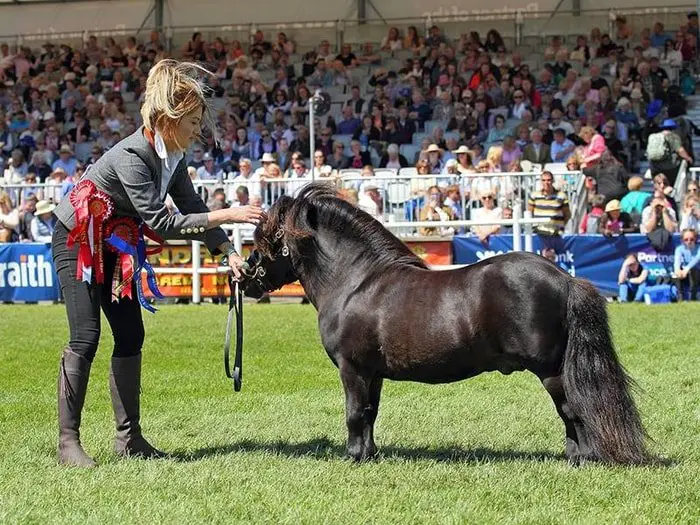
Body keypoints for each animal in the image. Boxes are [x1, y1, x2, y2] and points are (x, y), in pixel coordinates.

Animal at [243, 183, 648, 462]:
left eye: (270, 235)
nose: (245, 278)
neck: (356, 282)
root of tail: (565, 279)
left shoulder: (352, 368)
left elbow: (354, 414)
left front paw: (354, 457)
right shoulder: (373, 373)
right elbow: (371, 413)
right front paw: (370, 455)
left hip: (551, 370)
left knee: (572, 411)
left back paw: (581, 459)